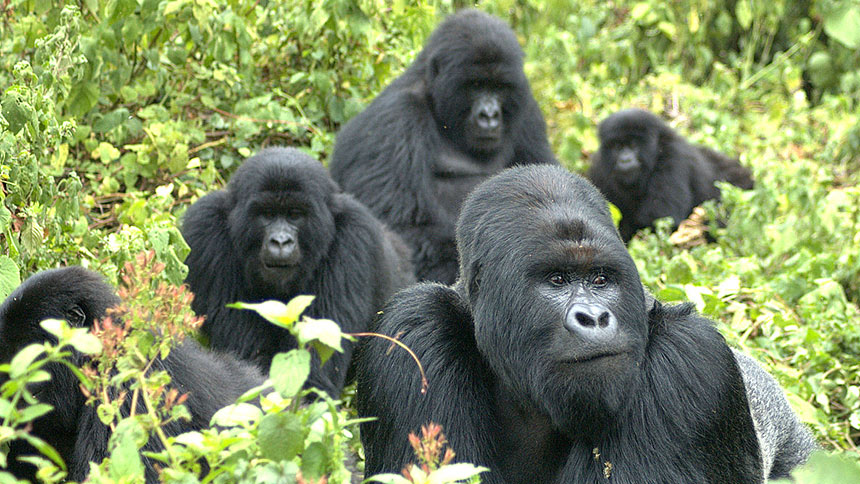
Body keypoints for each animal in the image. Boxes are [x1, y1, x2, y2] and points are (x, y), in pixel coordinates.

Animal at [181, 147, 414, 398]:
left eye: (295, 214)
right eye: (267, 214)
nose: (281, 242)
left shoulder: (354, 238)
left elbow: (313, 376)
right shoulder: (205, 230)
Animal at [330, 9, 556, 286]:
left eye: (499, 87)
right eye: (475, 85)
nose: (490, 115)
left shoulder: (528, 111)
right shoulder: (394, 119)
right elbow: (405, 227)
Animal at [592, 107, 752, 240]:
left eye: (633, 145)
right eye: (618, 146)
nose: (625, 160)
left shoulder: (673, 158)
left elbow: (660, 218)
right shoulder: (599, 169)